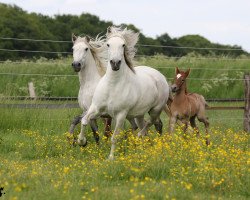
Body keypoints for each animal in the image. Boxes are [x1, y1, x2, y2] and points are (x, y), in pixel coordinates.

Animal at [79, 27, 171, 159]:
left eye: (123, 45)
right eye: (108, 44)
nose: (115, 63)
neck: (112, 85)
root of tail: (160, 76)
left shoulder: (120, 115)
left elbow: (114, 137)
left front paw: (111, 158)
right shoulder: (95, 108)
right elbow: (84, 120)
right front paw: (81, 141)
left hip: (155, 109)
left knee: (151, 123)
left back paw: (141, 138)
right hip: (139, 114)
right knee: (147, 125)